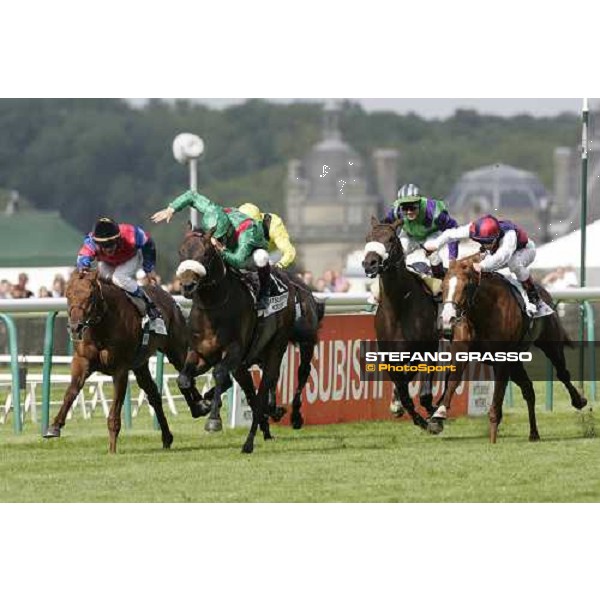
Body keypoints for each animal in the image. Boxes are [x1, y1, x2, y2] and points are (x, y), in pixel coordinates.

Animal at [43, 270, 205, 452]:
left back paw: (199, 406)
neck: (102, 328)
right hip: (140, 364)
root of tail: (169, 297)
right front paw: (54, 427)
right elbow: (71, 392)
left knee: (185, 375)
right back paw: (167, 437)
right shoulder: (82, 361)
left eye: (90, 295)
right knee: (153, 394)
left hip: (175, 349)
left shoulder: (120, 369)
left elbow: (115, 409)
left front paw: (112, 449)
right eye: (68, 294)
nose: (75, 327)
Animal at [175, 227, 310, 452]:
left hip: (274, 349)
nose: (187, 286)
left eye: (206, 254)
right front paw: (200, 405)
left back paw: (249, 441)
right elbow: (183, 379)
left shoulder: (234, 351)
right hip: (244, 365)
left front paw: (213, 420)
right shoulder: (200, 353)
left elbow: (220, 374)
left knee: (262, 393)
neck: (213, 308)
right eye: (181, 252)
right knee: (251, 395)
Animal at [360, 217, 440, 432]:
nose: (370, 263)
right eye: (368, 238)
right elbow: (402, 385)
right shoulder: (389, 353)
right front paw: (407, 411)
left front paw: (431, 415)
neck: (399, 307)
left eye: (390, 239)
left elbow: (420, 388)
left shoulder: (428, 346)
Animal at [428, 255, 588, 442]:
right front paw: (438, 416)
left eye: (466, 287)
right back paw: (534, 433)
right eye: (443, 287)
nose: (448, 319)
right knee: (528, 389)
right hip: (516, 362)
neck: (483, 312)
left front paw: (493, 438)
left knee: (562, 373)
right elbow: (453, 380)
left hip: (550, 344)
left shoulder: (502, 360)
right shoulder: (462, 349)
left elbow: (497, 397)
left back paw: (579, 401)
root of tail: (545, 292)